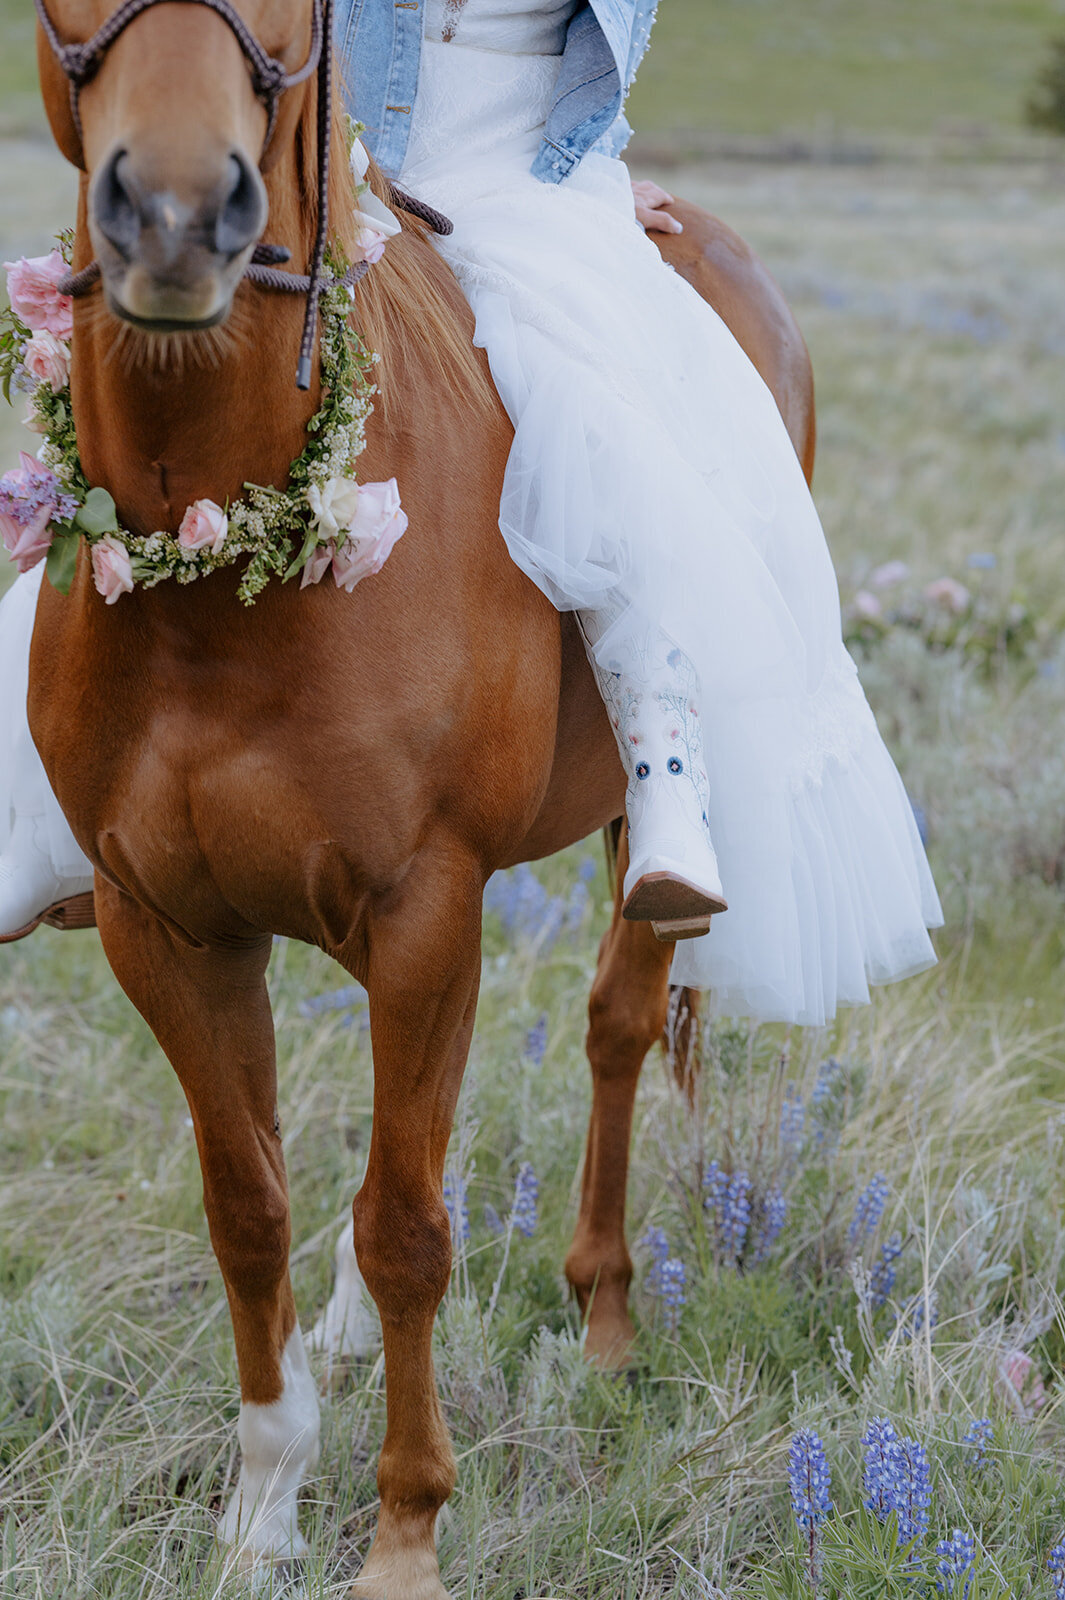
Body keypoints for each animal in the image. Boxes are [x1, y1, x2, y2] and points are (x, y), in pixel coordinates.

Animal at [28, 6, 812, 1593]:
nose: (178, 220)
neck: (226, 577)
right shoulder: (170, 931)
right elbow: (249, 1205)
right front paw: (263, 1504)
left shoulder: (420, 906)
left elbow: (408, 1229)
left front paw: (402, 1532)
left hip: (608, 863)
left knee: (614, 1024)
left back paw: (604, 1319)